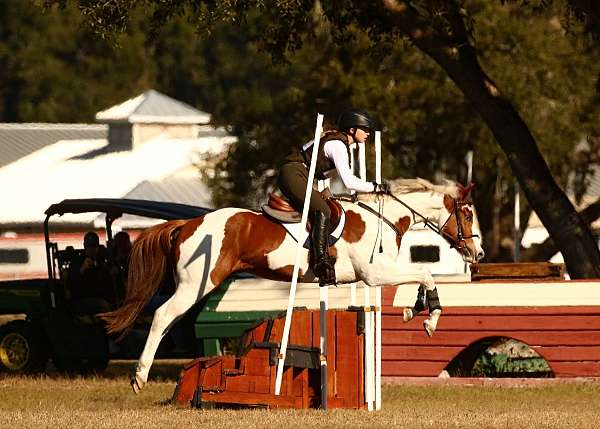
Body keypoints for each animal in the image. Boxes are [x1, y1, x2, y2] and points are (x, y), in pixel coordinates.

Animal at [98, 176, 482, 392]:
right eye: (467, 214)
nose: (477, 253)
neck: (381, 218)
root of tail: (187, 224)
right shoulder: (374, 273)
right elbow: (426, 274)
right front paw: (429, 319)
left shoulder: (379, 273)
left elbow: (421, 276)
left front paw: (412, 310)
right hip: (197, 283)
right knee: (163, 316)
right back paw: (139, 378)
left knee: (168, 320)